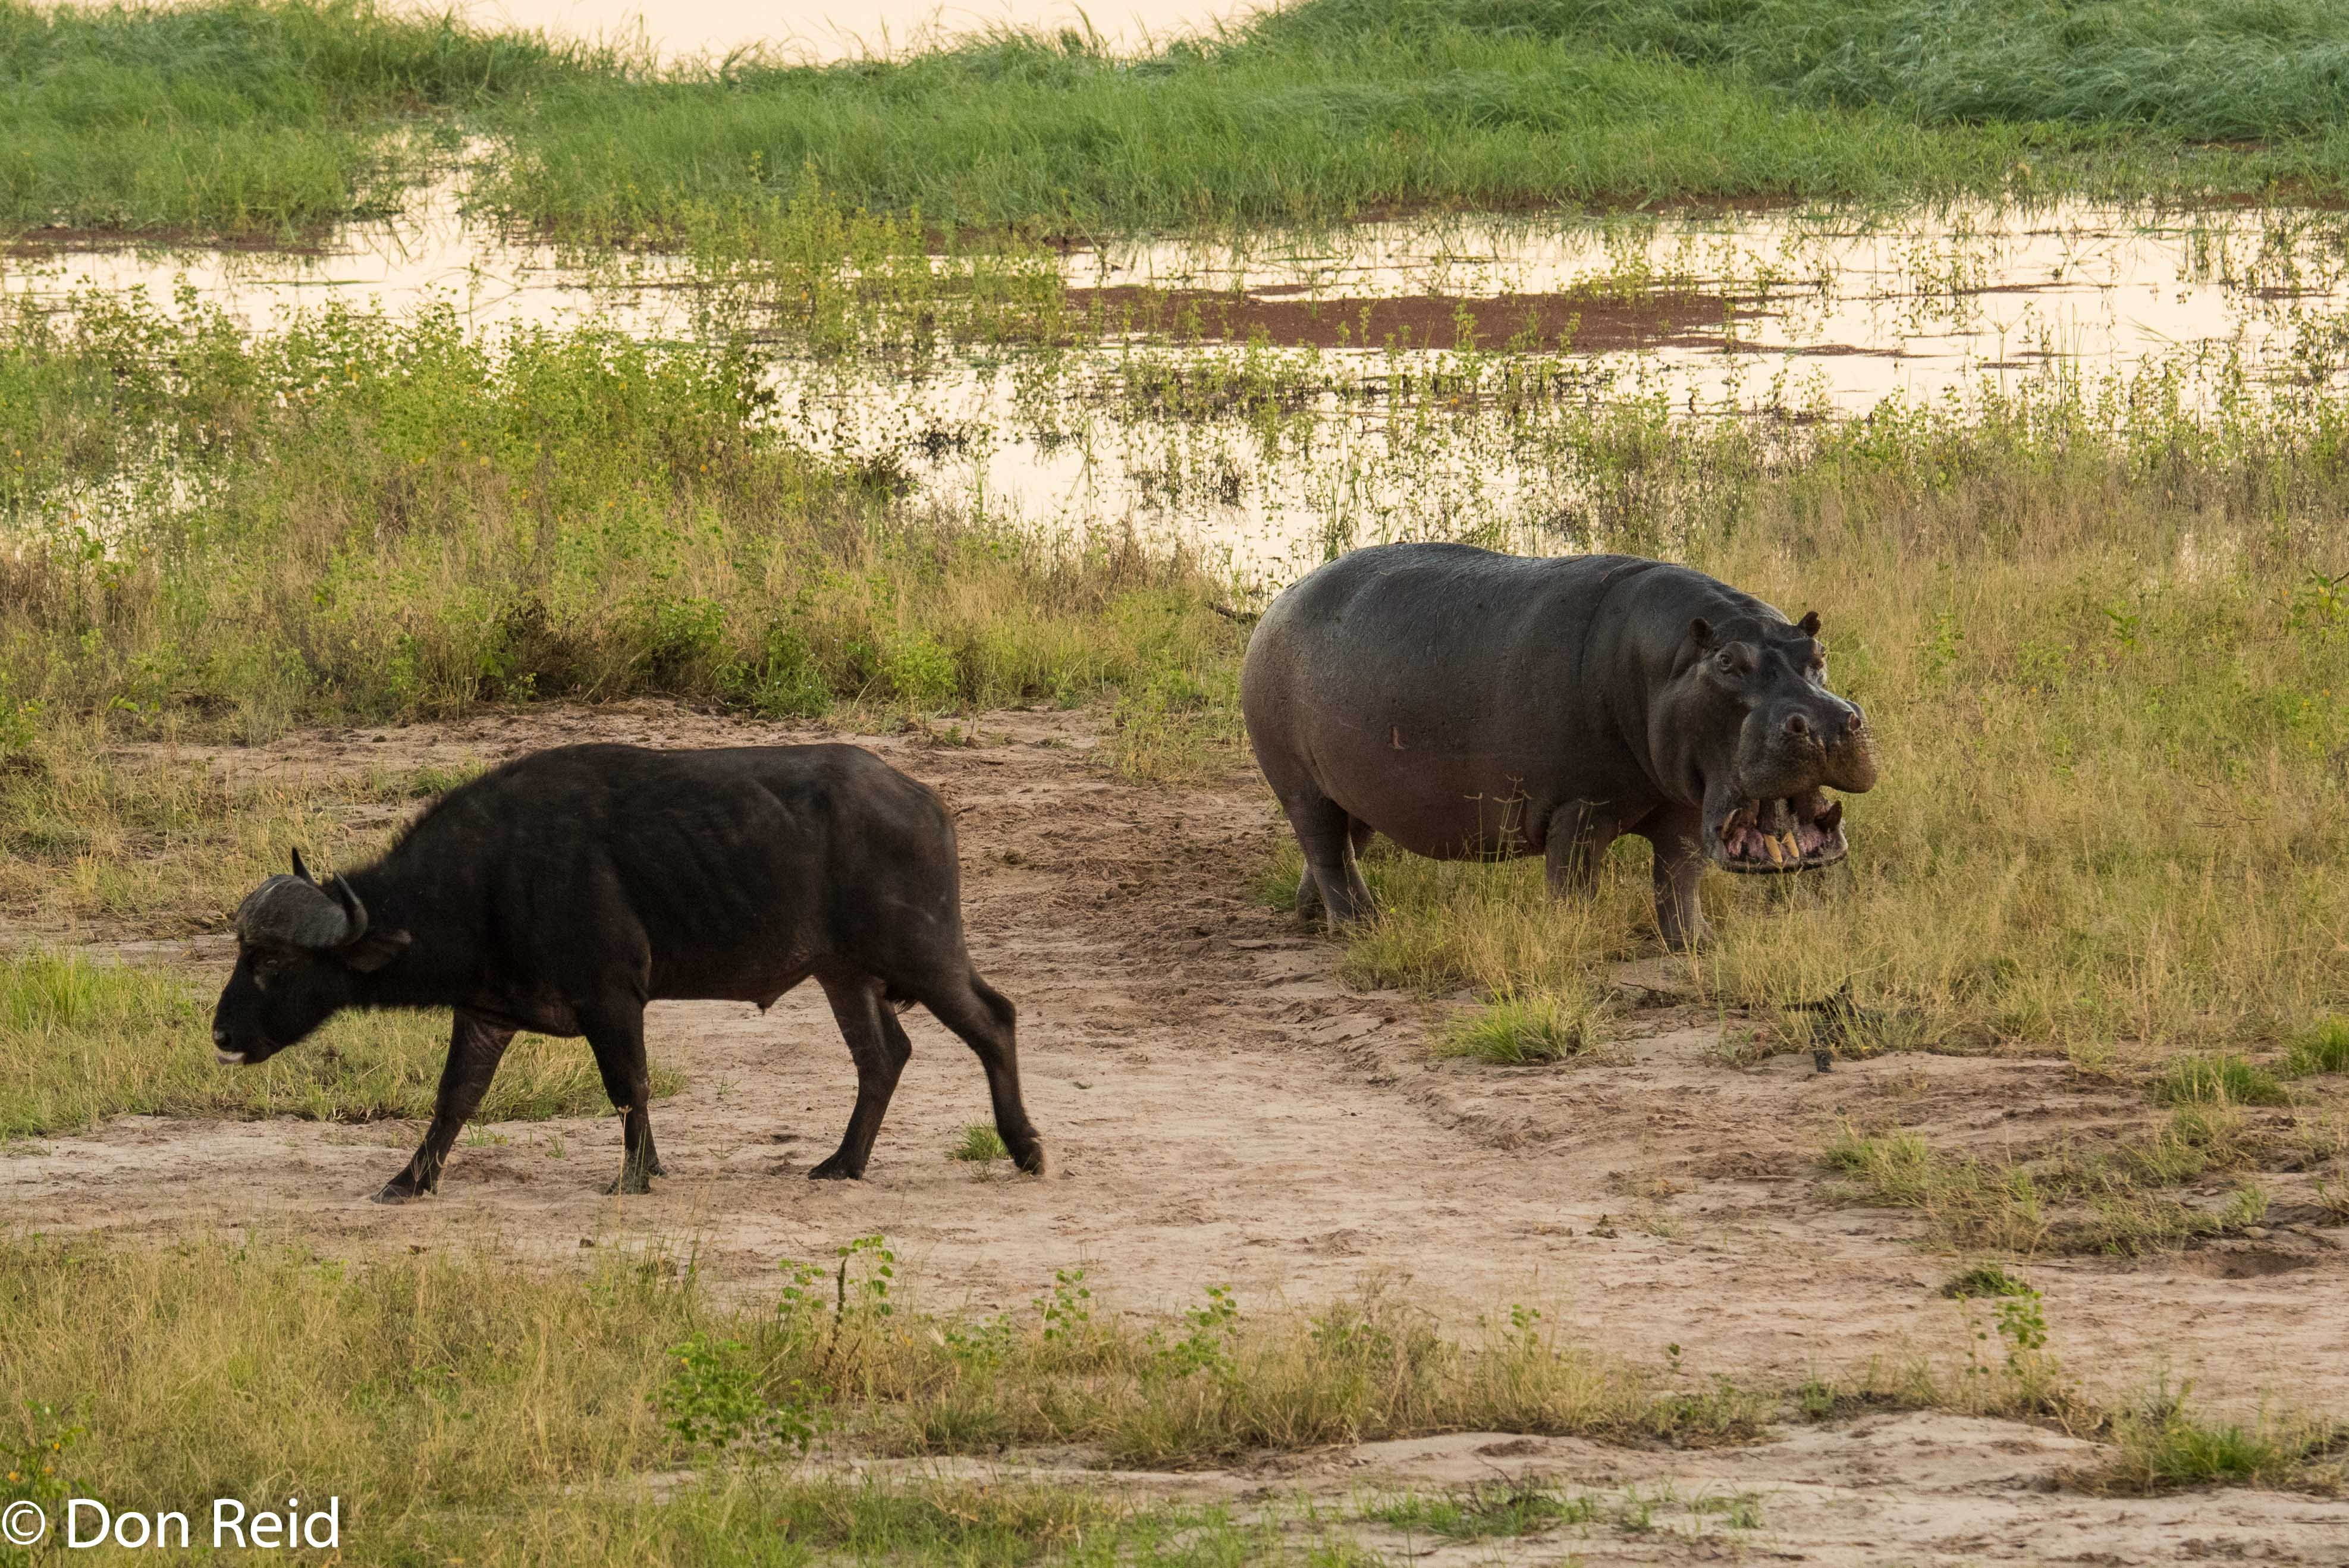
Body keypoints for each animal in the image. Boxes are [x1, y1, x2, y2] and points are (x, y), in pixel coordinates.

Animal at [211, 743, 1044, 1201]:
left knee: (993, 1019)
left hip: (923, 953)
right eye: (242, 952)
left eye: (272, 959)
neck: (489, 878)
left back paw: (1025, 1147)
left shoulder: (613, 1000)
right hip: (843, 974)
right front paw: (409, 1180)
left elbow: (628, 1088)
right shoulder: (485, 1013)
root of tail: (923, 800)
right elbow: (454, 1101)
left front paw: (638, 1174)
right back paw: (843, 1162)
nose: (220, 1034)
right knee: (884, 1056)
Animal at [1240, 544, 1878, 949]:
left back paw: (1316, 915)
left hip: (1356, 790)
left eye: (1817, 653)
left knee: (1343, 848)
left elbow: (1680, 876)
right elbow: (1574, 882)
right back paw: (1360, 928)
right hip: (1301, 788)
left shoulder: (1684, 805)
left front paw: (1697, 943)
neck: (1668, 659)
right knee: (1326, 847)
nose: (1826, 721)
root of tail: (1277, 604)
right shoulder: (1578, 806)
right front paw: (1576, 938)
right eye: (1727, 662)